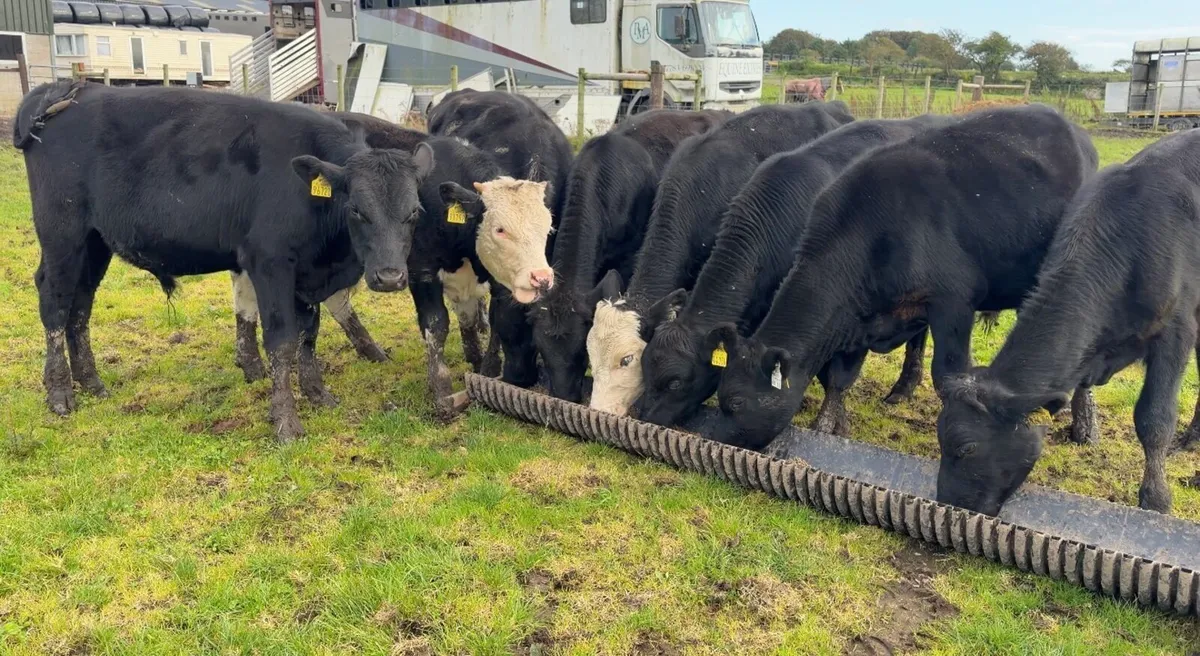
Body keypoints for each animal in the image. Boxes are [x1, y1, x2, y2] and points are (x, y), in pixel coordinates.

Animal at [635, 117, 957, 434]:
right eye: (645, 370)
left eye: (675, 382)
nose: (644, 416)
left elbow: (835, 376)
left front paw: (832, 424)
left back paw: (903, 389)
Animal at [709, 105, 1099, 452]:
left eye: (737, 402)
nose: (712, 439)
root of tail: (1071, 127)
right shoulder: (856, 317)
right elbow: (838, 377)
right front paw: (828, 427)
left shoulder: (952, 304)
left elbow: (948, 377)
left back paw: (1085, 427)